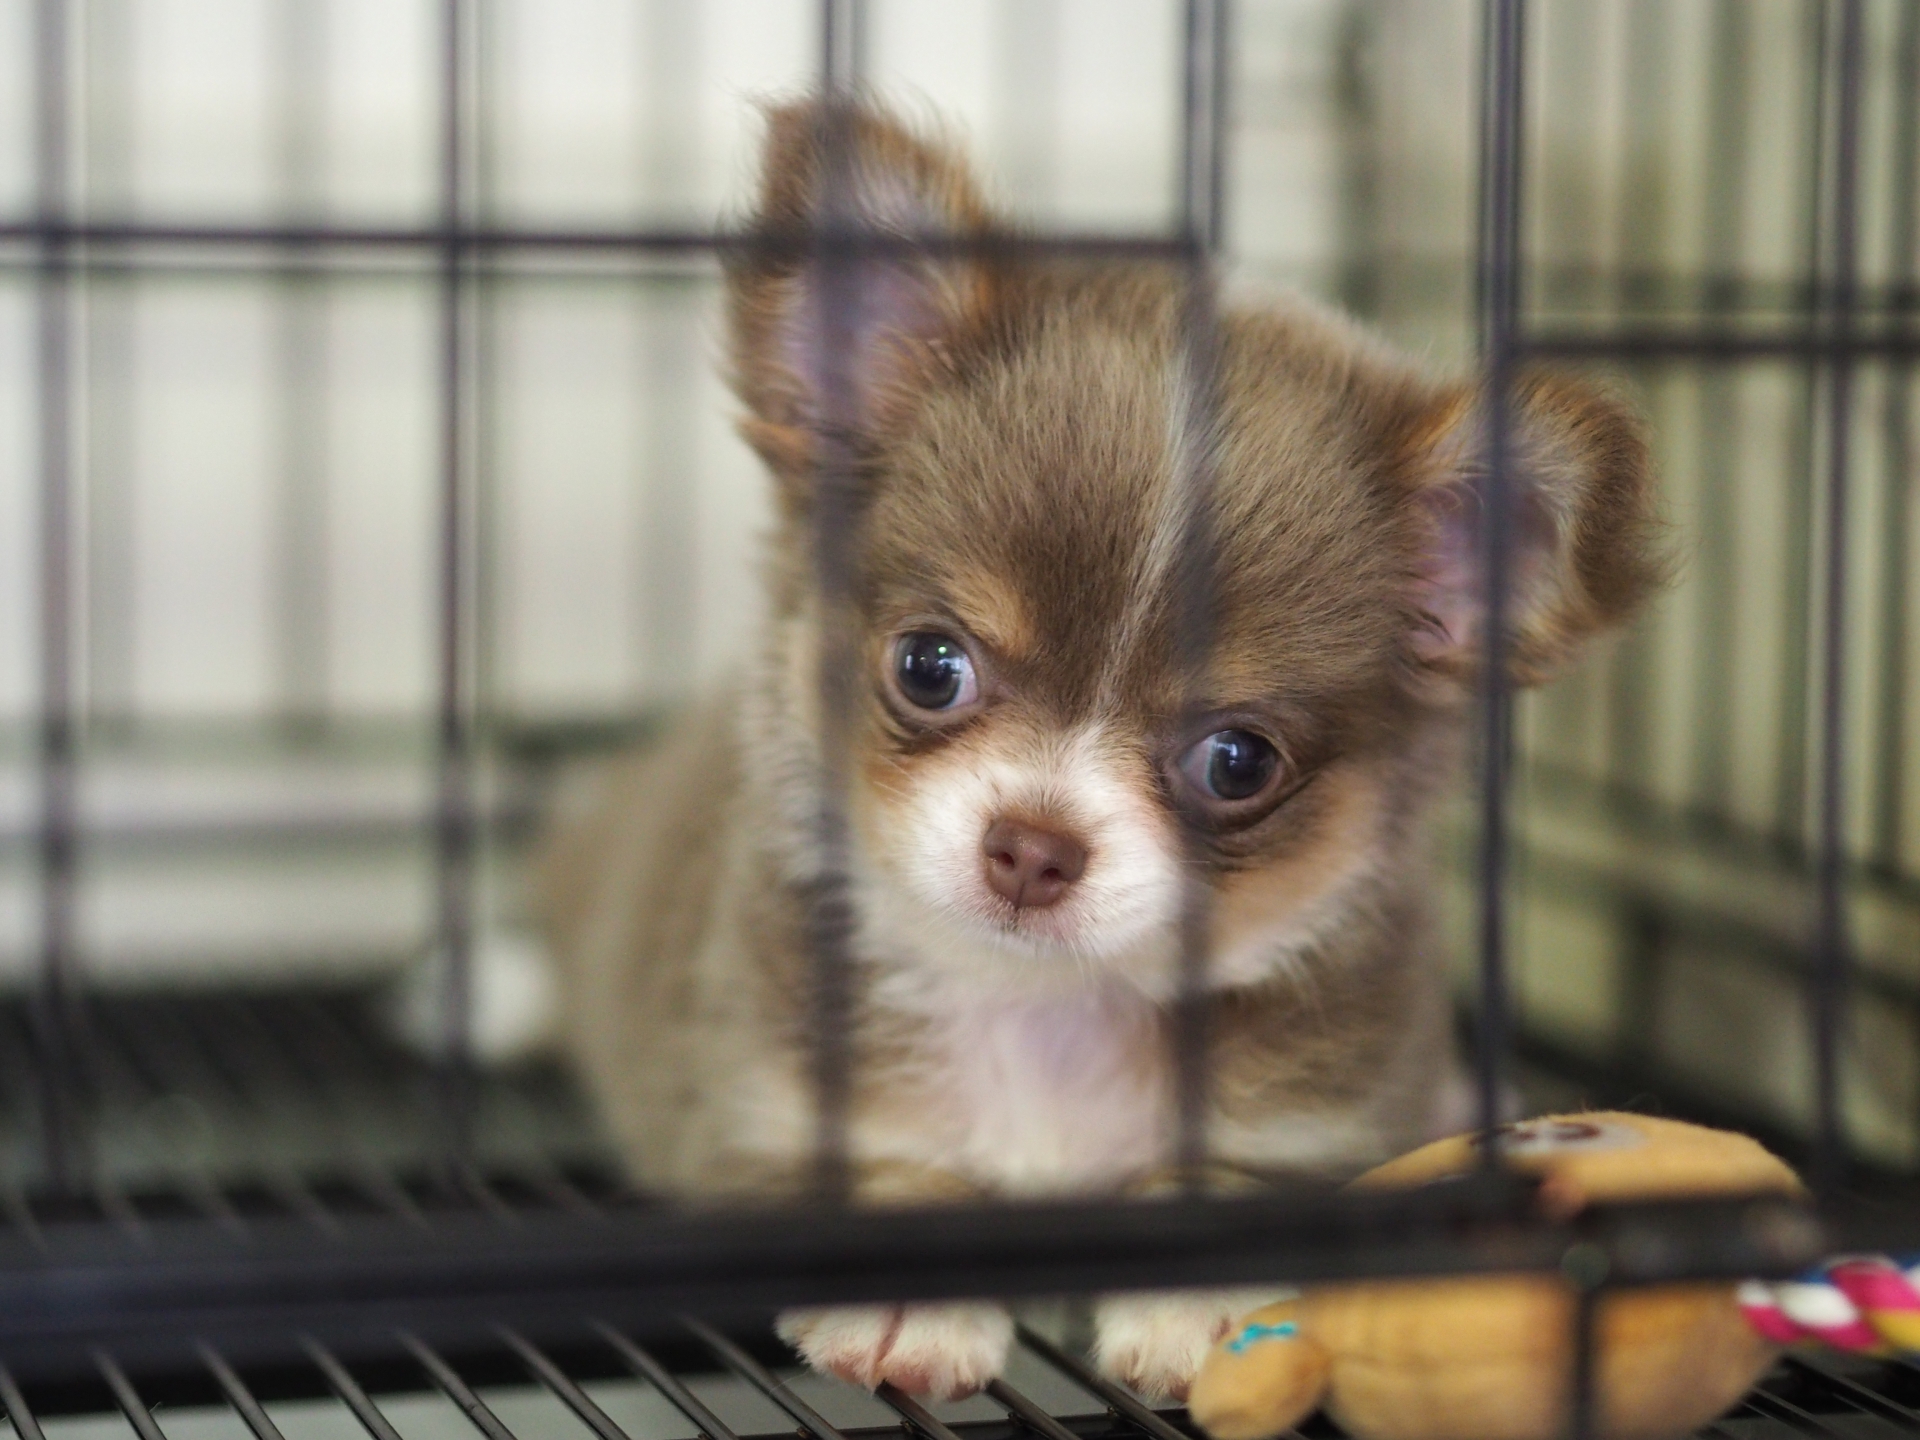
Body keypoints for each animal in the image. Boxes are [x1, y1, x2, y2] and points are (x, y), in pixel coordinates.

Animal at [533, 101, 1658, 1413]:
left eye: (1237, 761)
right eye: (929, 665)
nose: (1032, 846)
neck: (1047, 1017)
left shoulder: (1317, 1124)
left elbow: (1233, 1184)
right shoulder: (755, 1105)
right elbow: (876, 1172)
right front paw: (914, 1299)